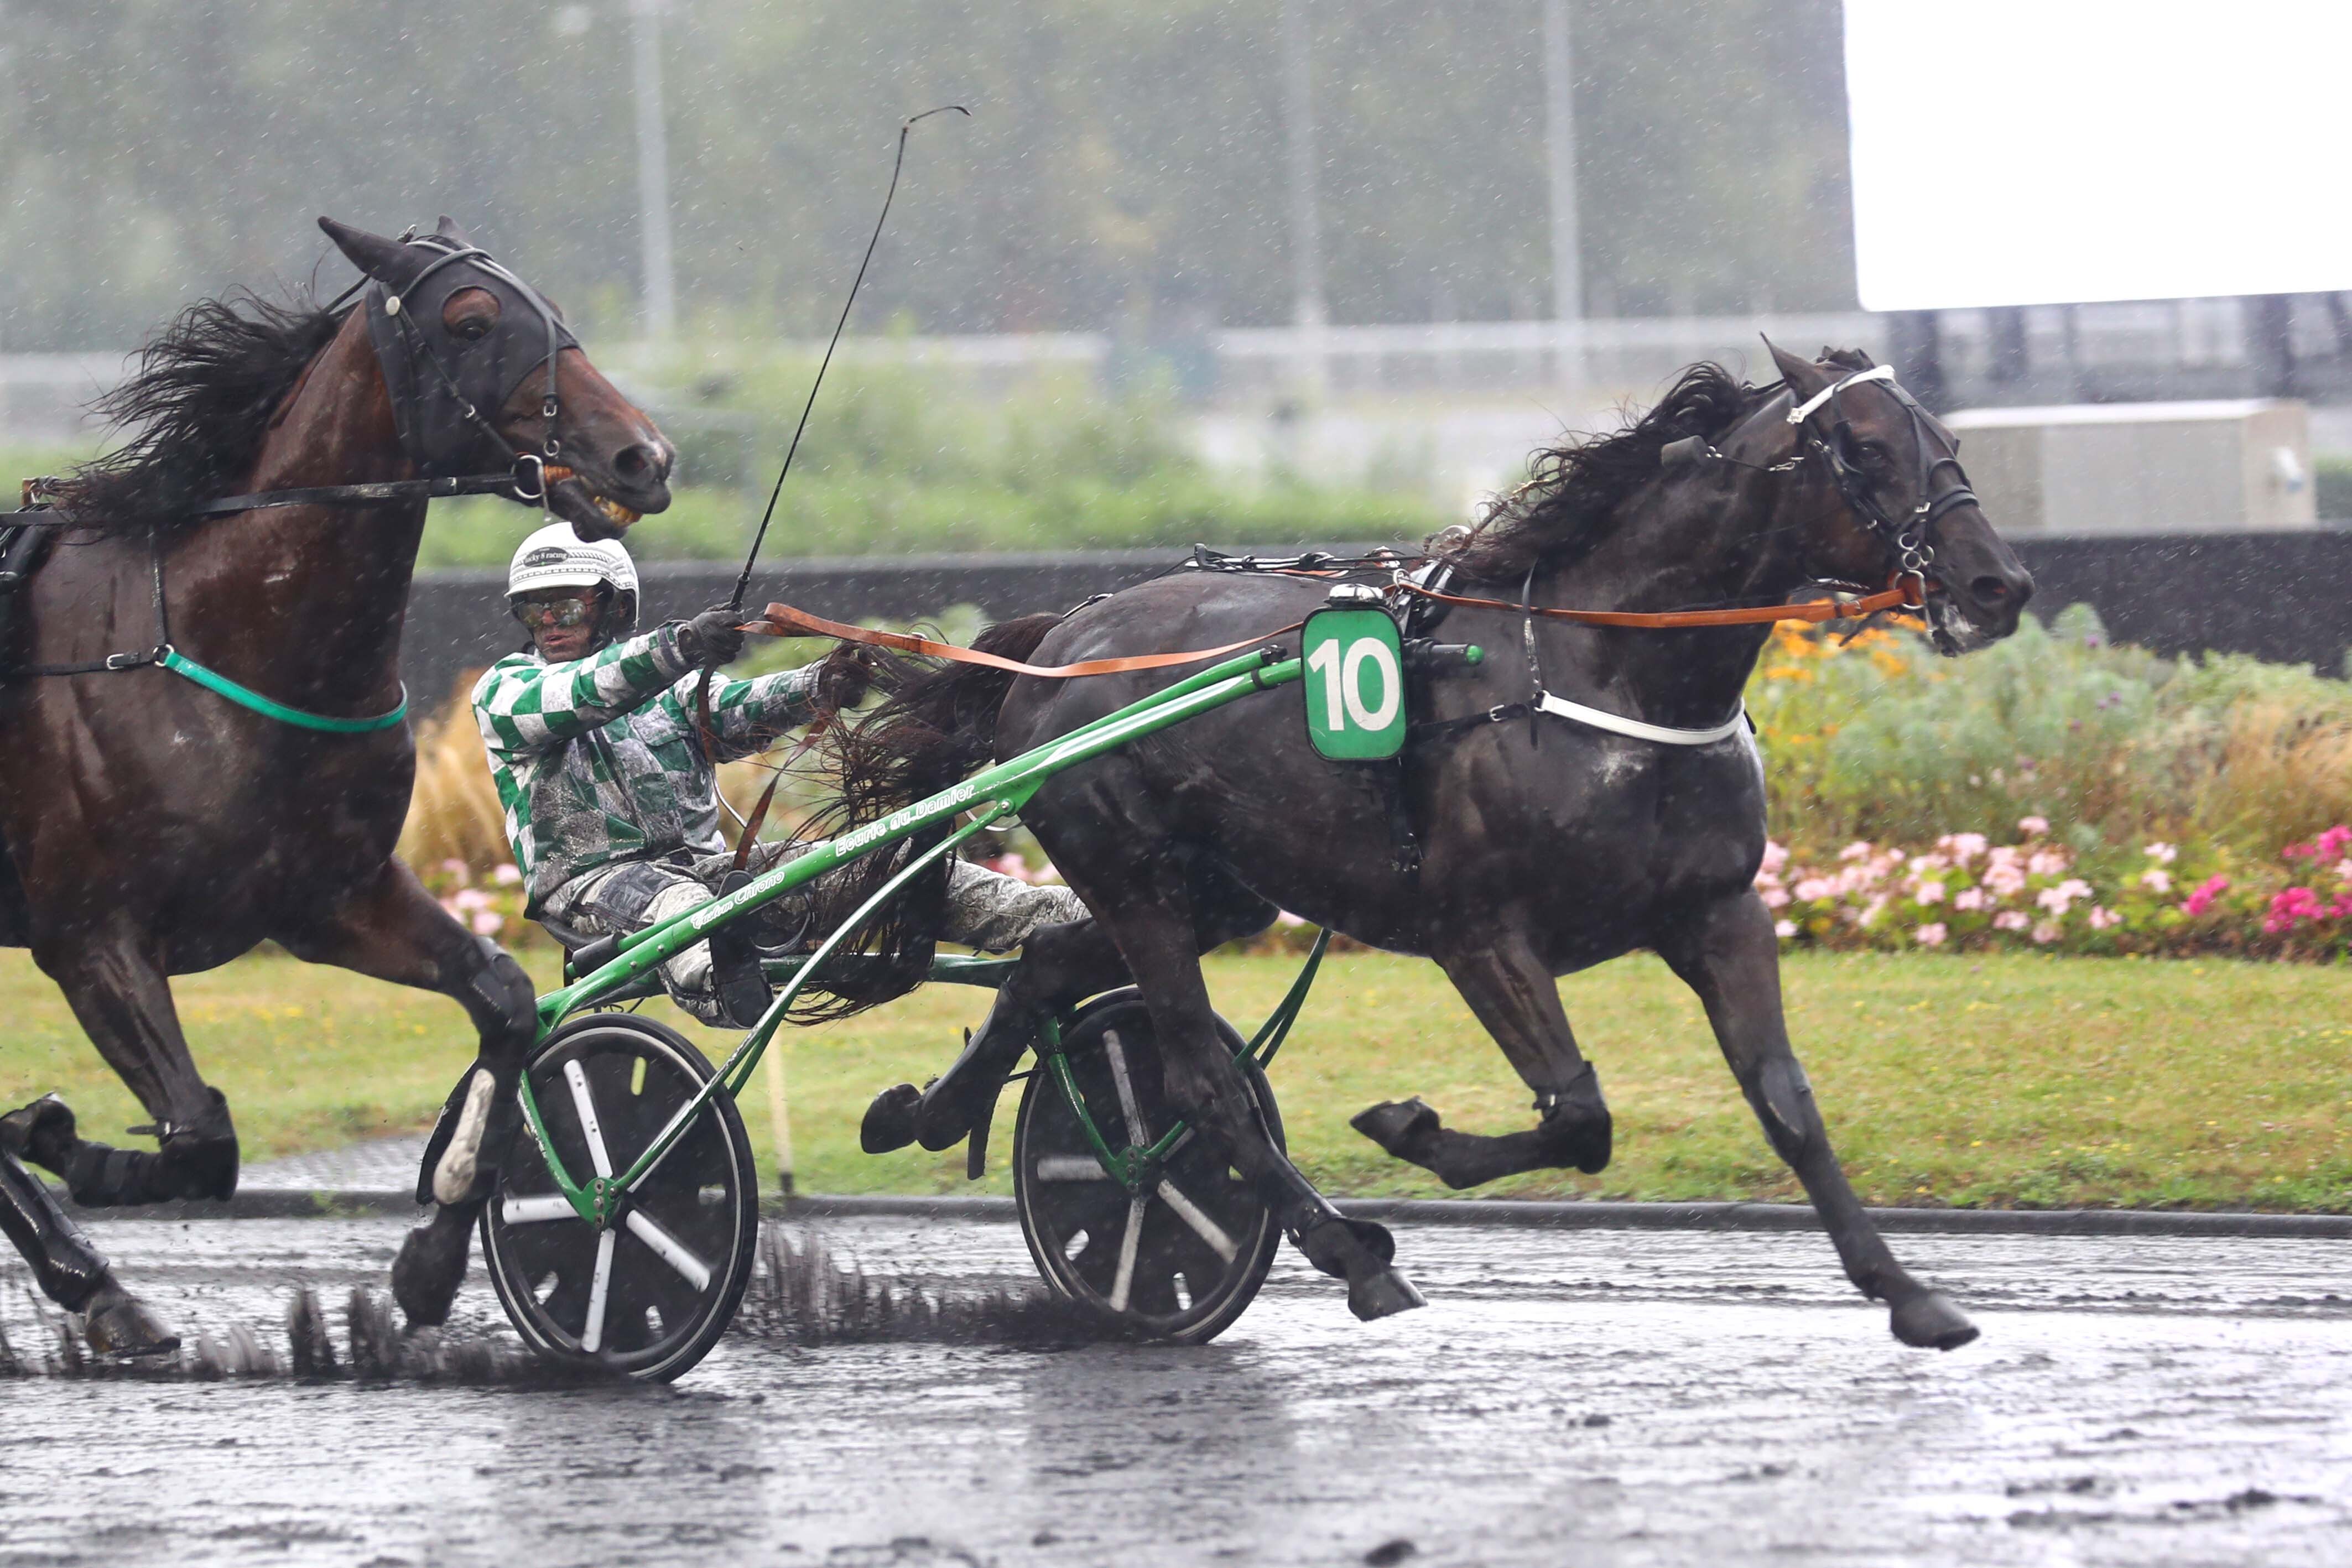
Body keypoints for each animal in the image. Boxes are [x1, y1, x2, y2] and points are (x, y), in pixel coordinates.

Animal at [0, 215, 682, 1354]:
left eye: (543, 301)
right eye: (471, 320)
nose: (644, 453)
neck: (215, 634)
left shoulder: (329, 897)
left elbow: (505, 1002)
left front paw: (433, 1255)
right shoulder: (90, 938)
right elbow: (201, 1138)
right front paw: (56, 1139)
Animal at [856, 343, 2032, 1354]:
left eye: (1945, 436)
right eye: (1865, 448)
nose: (1996, 585)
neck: (1604, 678)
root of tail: (1055, 644)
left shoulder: (1719, 910)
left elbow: (1784, 1102)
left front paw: (1909, 1293)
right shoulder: (1479, 935)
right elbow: (1579, 1118)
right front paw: (1409, 1130)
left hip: (1216, 890)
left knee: (1050, 966)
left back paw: (930, 1110)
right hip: (1135, 876)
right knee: (1197, 1079)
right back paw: (1347, 1252)